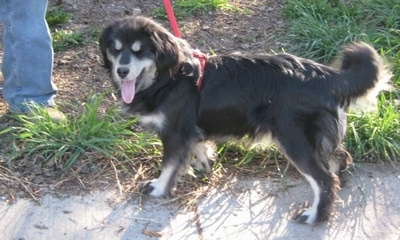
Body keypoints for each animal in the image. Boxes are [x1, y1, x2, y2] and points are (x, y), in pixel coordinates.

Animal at [98, 15, 392, 224]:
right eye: (115, 50)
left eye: (140, 50)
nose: (121, 70)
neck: (168, 76)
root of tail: (327, 76)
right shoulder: (190, 131)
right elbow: (197, 149)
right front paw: (204, 166)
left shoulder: (175, 133)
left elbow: (169, 165)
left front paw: (159, 188)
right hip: (316, 137)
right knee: (339, 158)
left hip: (294, 139)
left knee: (323, 180)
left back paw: (315, 216)